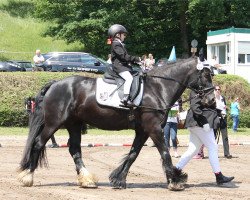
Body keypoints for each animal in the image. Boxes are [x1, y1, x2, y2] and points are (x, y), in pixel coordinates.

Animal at [18, 56, 215, 191]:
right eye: (206, 75)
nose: (212, 100)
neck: (157, 88)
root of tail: (55, 83)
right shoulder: (153, 128)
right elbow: (165, 152)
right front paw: (175, 180)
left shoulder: (143, 130)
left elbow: (133, 154)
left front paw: (118, 179)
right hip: (54, 123)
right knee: (38, 143)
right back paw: (28, 177)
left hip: (74, 124)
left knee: (74, 149)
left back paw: (87, 180)